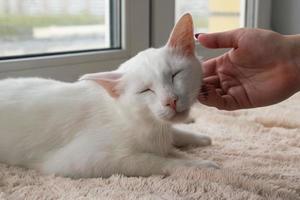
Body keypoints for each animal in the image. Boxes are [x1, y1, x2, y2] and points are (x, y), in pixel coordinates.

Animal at [0, 13, 218, 178]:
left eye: (175, 75)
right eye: (145, 90)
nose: (170, 101)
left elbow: (173, 134)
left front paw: (197, 137)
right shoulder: (84, 160)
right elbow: (154, 161)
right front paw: (200, 165)